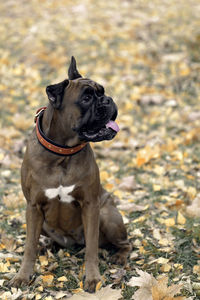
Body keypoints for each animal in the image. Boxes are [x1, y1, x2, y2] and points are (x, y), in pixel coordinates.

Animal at [9, 56, 131, 292]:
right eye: (86, 98)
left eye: (102, 91)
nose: (108, 100)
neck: (62, 153)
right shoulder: (33, 207)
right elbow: (29, 246)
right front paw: (23, 276)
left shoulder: (90, 205)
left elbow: (92, 247)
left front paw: (92, 278)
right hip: (42, 222)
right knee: (39, 238)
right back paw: (46, 246)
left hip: (107, 215)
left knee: (125, 244)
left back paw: (119, 256)